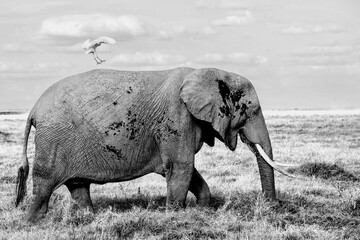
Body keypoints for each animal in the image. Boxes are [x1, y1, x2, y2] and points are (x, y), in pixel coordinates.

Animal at [15, 67, 294, 221]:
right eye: (252, 111)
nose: (272, 206)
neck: (211, 72)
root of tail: (33, 109)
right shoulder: (177, 118)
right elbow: (181, 166)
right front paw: (176, 217)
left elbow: (183, 169)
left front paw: (202, 210)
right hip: (53, 139)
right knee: (45, 182)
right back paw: (34, 222)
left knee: (78, 185)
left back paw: (89, 218)